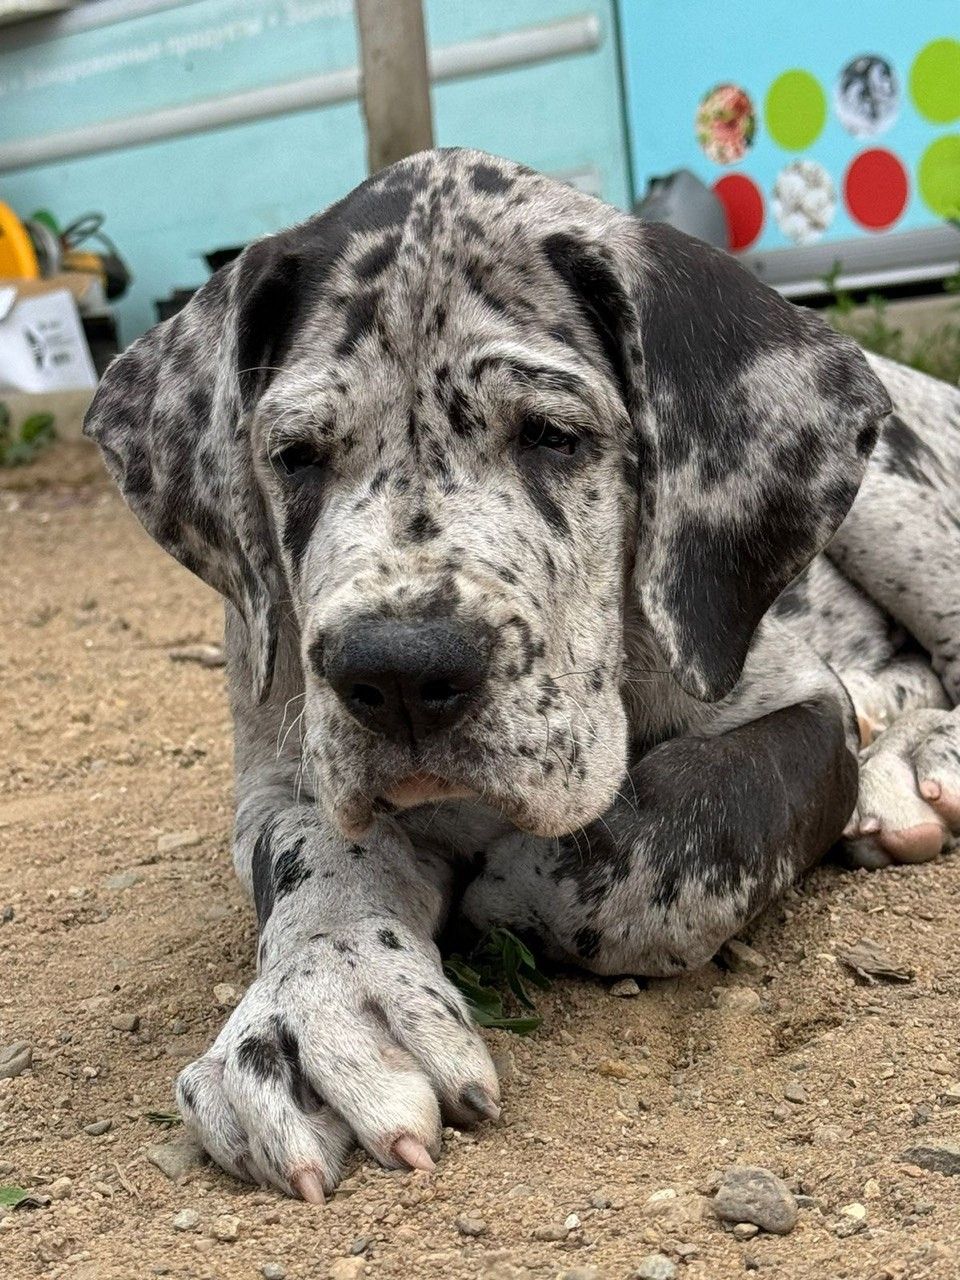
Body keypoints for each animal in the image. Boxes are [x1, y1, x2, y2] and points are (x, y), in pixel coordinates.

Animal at [84, 148, 960, 1201]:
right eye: (294, 457)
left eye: (551, 434)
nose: (401, 674)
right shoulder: (280, 768)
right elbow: (314, 856)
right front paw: (321, 1004)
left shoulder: (796, 709)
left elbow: (684, 836)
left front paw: (518, 883)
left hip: (896, 504)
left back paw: (919, 758)